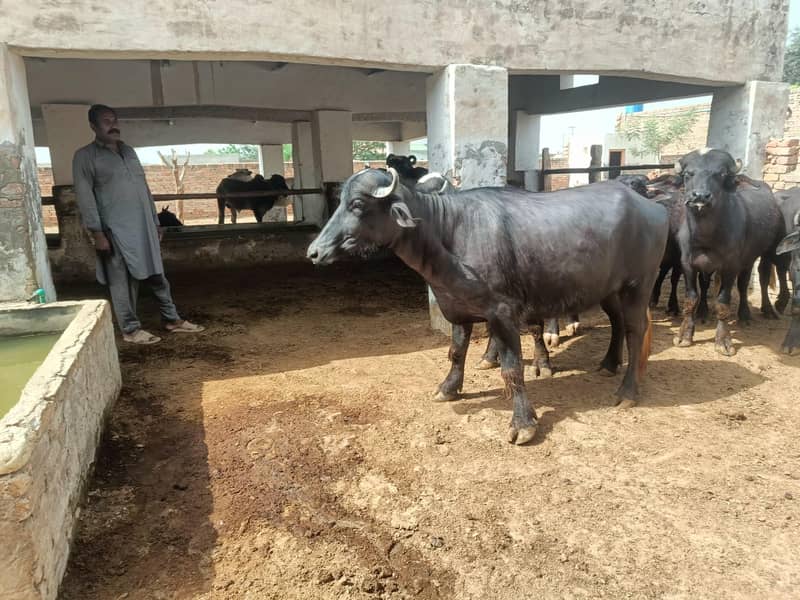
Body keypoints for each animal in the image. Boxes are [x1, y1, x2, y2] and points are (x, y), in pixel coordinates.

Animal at [307, 168, 669, 445]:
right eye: (338, 202)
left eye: (357, 204)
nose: (314, 252)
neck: (449, 234)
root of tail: (650, 205)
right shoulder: (457, 307)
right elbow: (456, 352)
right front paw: (448, 388)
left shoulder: (503, 313)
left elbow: (512, 368)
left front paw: (523, 424)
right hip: (610, 289)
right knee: (618, 323)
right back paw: (608, 364)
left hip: (639, 284)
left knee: (636, 330)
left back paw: (627, 392)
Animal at [673, 148, 791, 355]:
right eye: (688, 174)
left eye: (720, 174)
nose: (700, 196)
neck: (706, 236)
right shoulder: (688, 264)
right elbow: (691, 298)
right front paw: (685, 334)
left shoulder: (730, 265)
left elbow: (723, 301)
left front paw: (723, 340)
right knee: (739, 283)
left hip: (771, 249)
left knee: (767, 275)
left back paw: (769, 307)